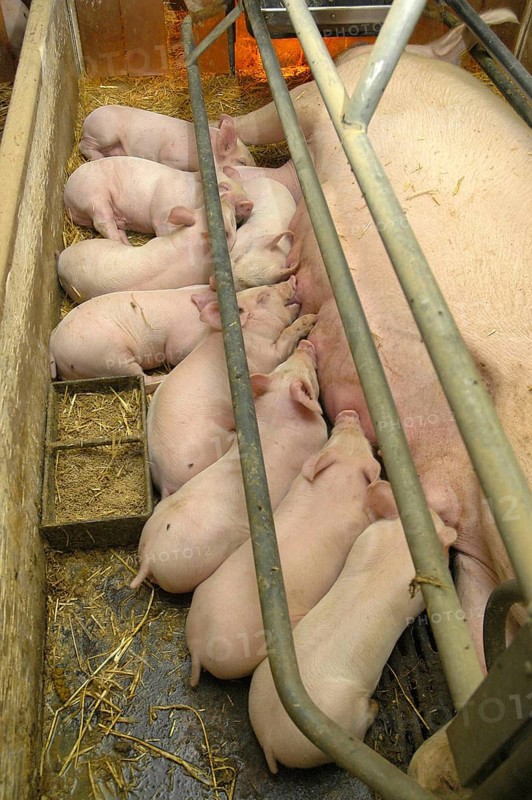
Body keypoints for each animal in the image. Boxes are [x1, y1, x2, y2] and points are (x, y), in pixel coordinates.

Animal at [49, 285, 215, 389]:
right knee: (143, 379)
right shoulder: (181, 342)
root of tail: (54, 347)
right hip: (110, 358)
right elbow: (174, 354)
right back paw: (164, 377)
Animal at [63, 157, 252, 243]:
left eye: (243, 188)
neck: (191, 196)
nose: (248, 203)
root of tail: (67, 193)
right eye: (223, 187)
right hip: (94, 197)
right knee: (102, 223)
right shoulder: (162, 214)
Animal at [79, 108, 256, 171]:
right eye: (242, 162)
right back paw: (98, 157)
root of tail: (87, 119)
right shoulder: (170, 157)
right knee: (83, 145)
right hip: (105, 134)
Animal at [147, 278, 317, 497]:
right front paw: (311, 318)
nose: (292, 280)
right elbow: (286, 337)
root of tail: (164, 481)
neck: (245, 335)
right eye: (262, 297)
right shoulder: (267, 355)